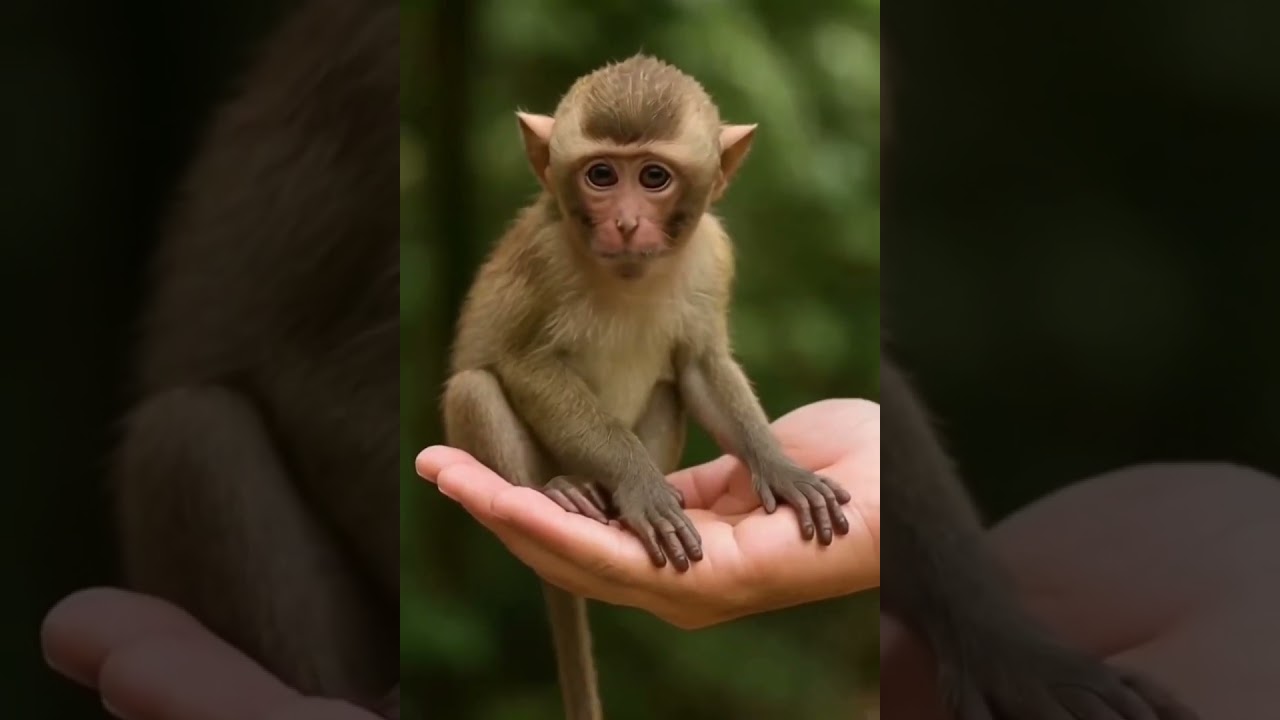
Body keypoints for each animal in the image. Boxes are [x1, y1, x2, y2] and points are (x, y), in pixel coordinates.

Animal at [439, 54, 854, 720]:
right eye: (602, 174)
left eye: (654, 176)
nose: (627, 222)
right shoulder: (545, 257)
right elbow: (526, 365)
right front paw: (638, 484)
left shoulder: (713, 257)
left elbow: (701, 369)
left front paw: (782, 469)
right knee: (474, 387)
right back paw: (560, 489)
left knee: (668, 388)